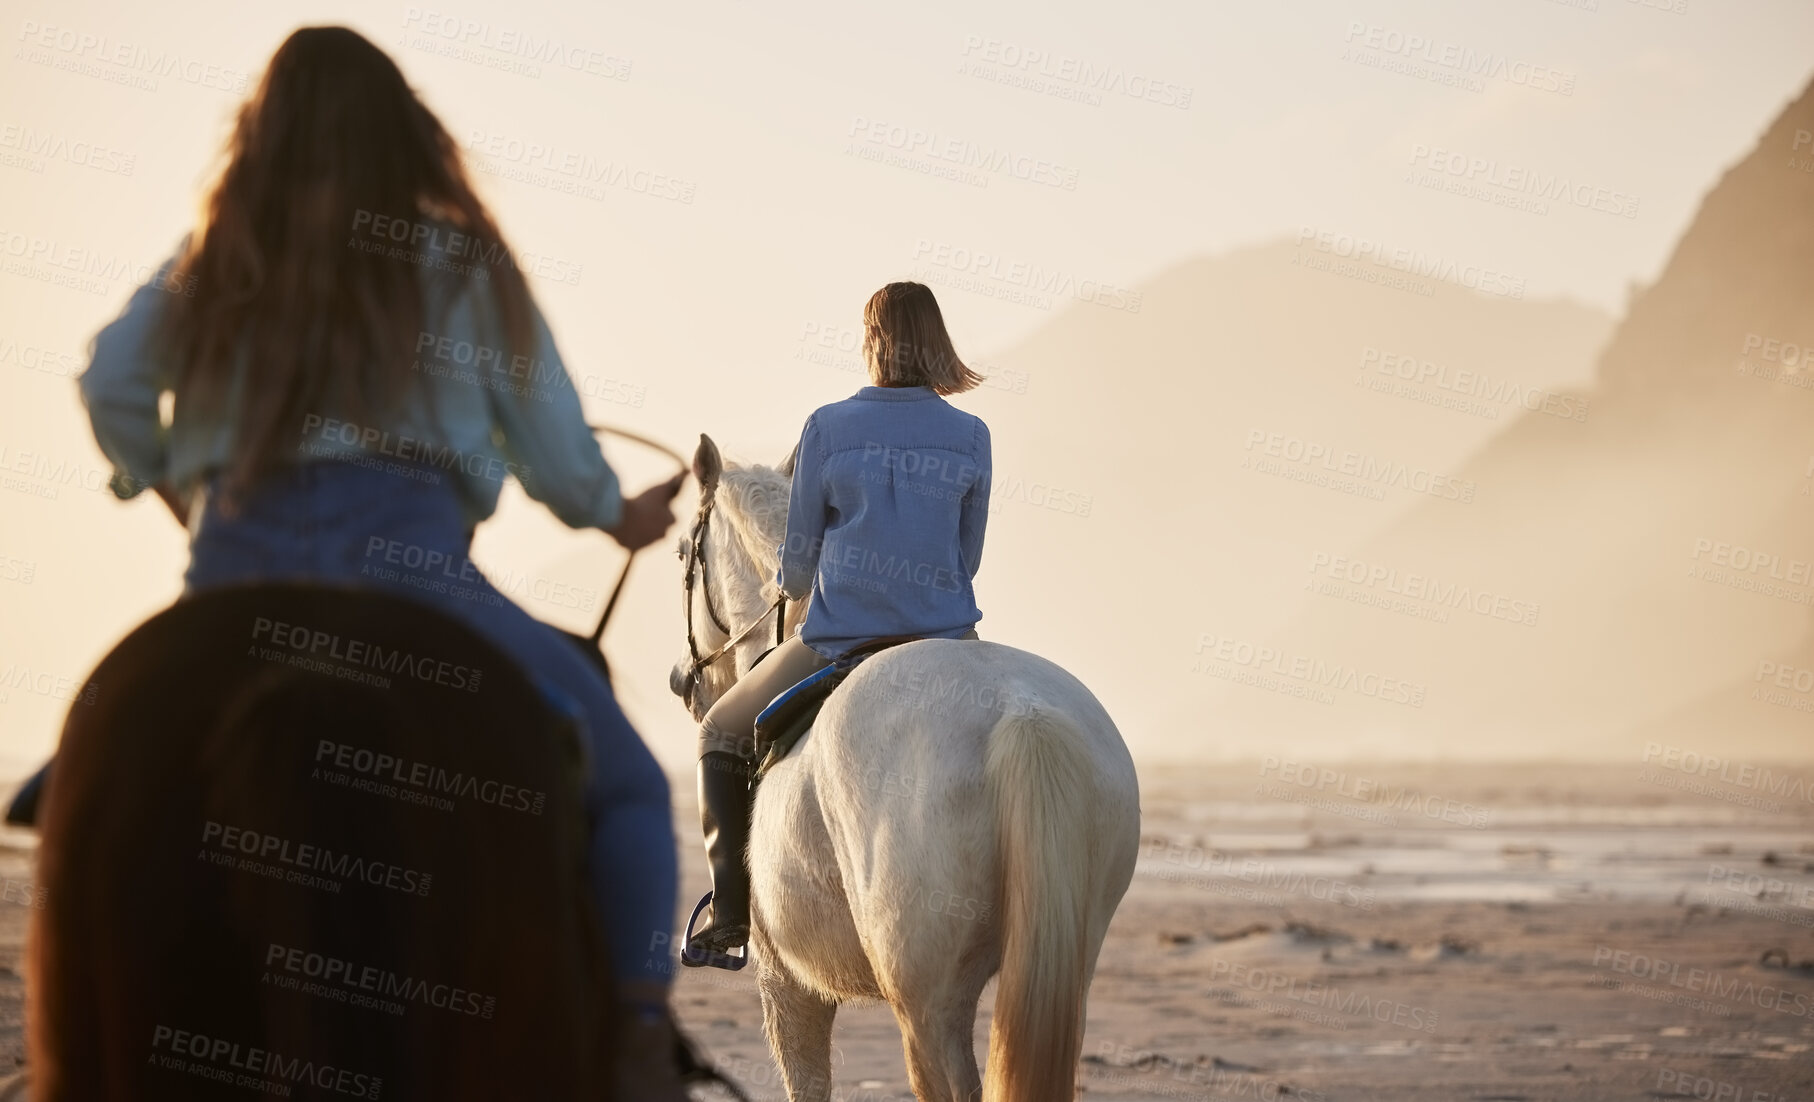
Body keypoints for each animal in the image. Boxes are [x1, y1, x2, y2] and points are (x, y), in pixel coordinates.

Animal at [674, 439, 1139, 1102]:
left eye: (684, 553)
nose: (683, 683)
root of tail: (1021, 712)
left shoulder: (785, 984)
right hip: (1064, 964)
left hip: (926, 1003)